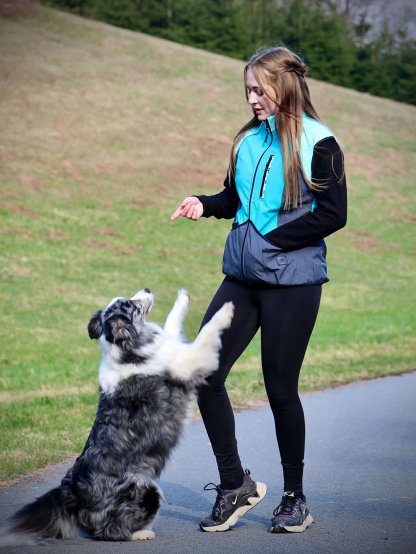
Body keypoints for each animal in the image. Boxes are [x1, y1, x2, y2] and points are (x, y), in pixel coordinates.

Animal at [1, 288, 234, 544]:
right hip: (145, 487)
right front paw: (227, 311)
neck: (127, 349)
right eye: (130, 304)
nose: (147, 289)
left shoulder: (172, 349)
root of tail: (70, 492)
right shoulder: (187, 363)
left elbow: (172, 323)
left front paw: (182, 299)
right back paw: (141, 534)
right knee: (110, 531)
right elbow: (206, 332)